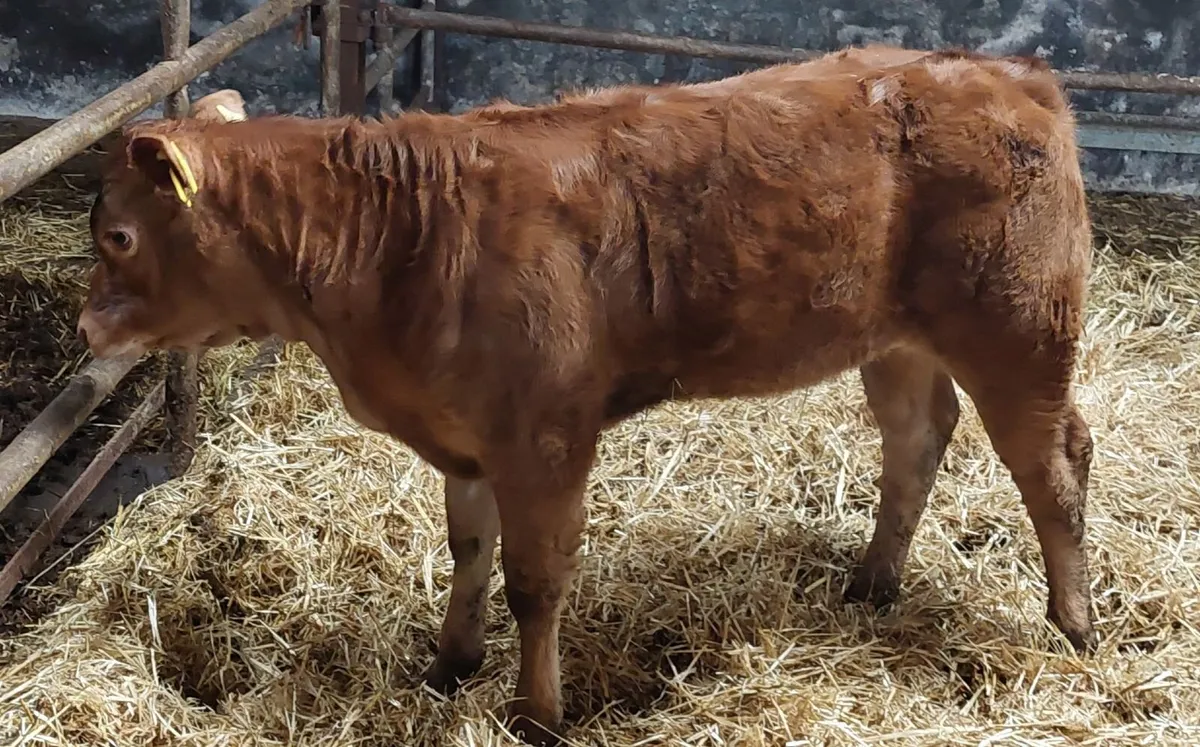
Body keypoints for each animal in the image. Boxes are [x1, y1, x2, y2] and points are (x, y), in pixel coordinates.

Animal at [76, 44, 1097, 745]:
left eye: (119, 236)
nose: (86, 330)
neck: (391, 243)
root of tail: (1009, 73)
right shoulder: (465, 430)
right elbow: (468, 548)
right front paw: (449, 663)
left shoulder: (545, 433)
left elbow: (535, 581)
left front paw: (536, 712)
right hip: (896, 339)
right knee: (917, 438)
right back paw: (873, 583)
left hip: (1019, 328)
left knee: (1054, 467)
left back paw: (1075, 627)